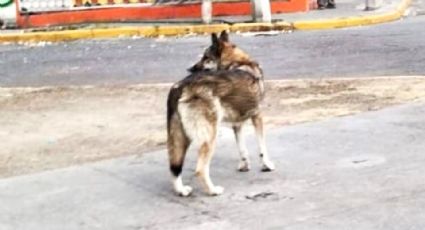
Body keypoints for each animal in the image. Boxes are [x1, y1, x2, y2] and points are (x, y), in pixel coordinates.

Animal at [166, 30, 274, 196]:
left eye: (206, 57)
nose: (189, 69)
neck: (237, 62)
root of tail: (180, 85)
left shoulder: (237, 124)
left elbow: (242, 149)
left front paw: (244, 165)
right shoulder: (257, 117)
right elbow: (262, 148)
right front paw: (266, 165)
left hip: (182, 137)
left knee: (174, 167)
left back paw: (182, 190)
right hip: (210, 136)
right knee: (200, 169)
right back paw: (213, 190)